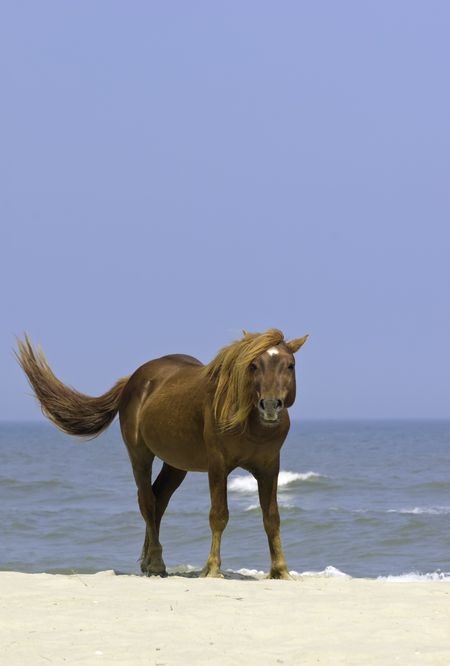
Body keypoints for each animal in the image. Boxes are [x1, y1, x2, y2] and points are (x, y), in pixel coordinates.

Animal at [16, 330, 306, 580]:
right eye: (254, 365)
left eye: (290, 365)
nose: (270, 405)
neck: (250, 423)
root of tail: (135, 378)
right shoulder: (218, 466)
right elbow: (219, 515)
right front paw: (212, 569)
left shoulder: (269, 467)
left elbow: (272, 518)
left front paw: (281, 570)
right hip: (140, 456)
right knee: (147, 501)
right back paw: (156, 563)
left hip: (176, 464)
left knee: (159, 501)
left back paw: (148, 562)